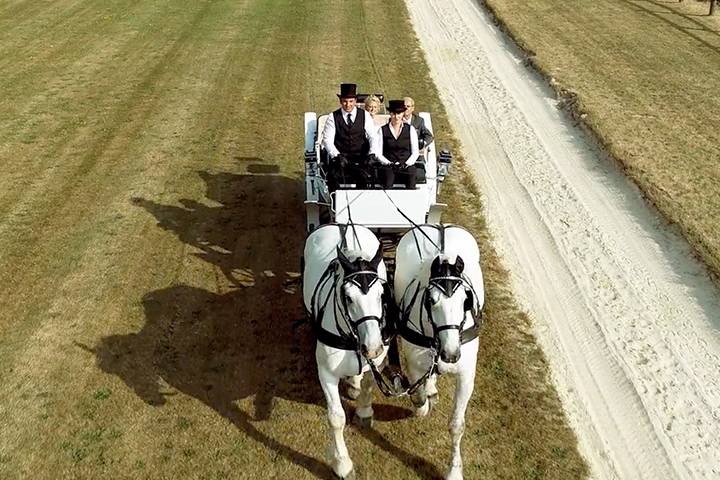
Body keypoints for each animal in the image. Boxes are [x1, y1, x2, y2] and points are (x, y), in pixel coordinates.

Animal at [302, 225, 390, 480]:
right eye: (348, 297)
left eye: (382, 294)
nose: (372, 346)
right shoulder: (326, 372)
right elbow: (336, 418)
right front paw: (342, 463)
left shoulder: (376, 361)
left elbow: (369, 384)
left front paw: (364, 411)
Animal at [394, 224, 484, 480]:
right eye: (431, 299)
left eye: (466, 300)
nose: (451, 354)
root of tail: (440, 226)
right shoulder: (415, 363)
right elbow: (419, 395)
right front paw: (423, 403)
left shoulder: (466, 376)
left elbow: (457, 426)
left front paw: (454, 471)